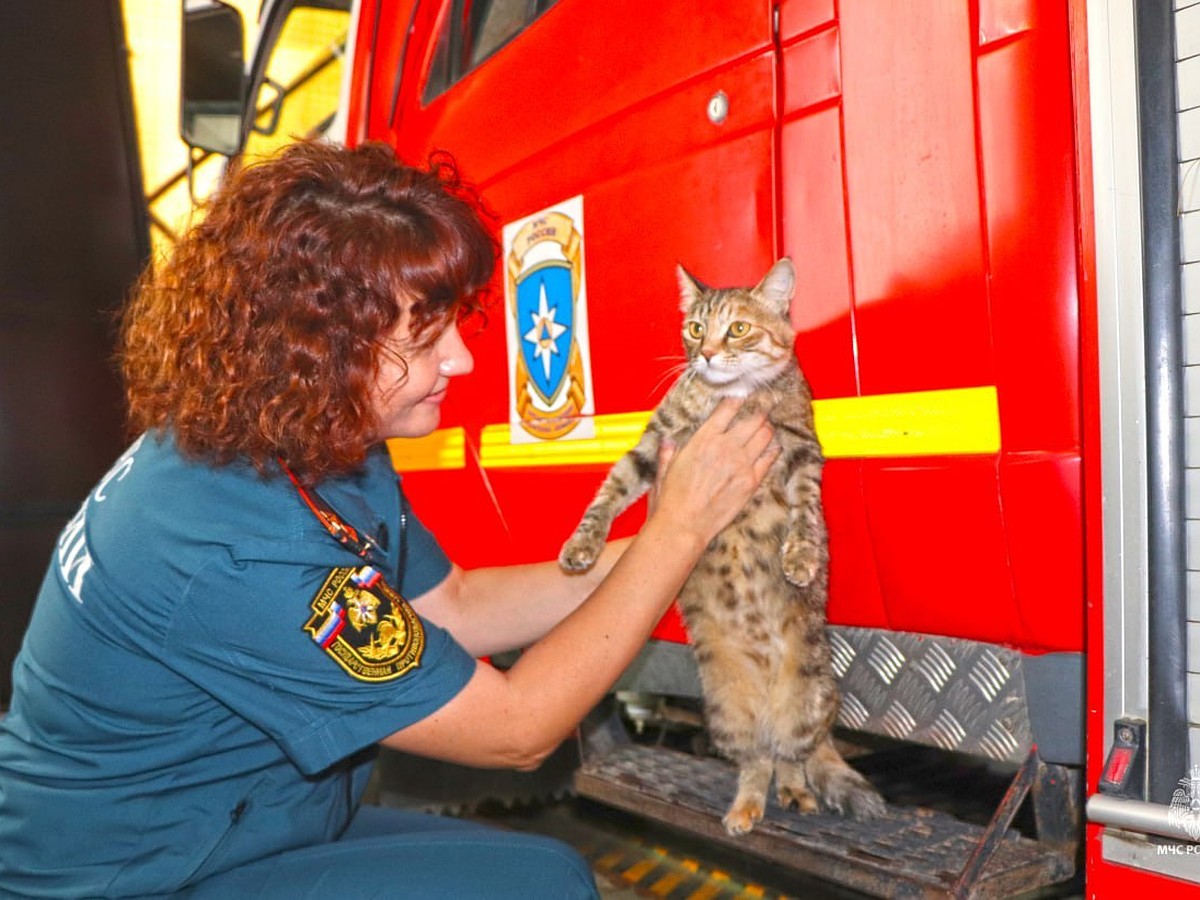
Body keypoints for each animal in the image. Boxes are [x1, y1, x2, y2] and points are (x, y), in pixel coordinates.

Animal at [556, 256, 888, 835]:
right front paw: (582, 544)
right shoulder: (653, 444)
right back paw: (745, 808)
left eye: (737, 329)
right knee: (757, 760)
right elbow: (610, 490)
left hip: (807, 706)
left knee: (789, 755)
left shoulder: (802, 450)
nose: (707, 353)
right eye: (694, 329)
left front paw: (802, 555)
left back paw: (795, 792)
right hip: (726, 714)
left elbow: (806, 508)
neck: (730, 399)